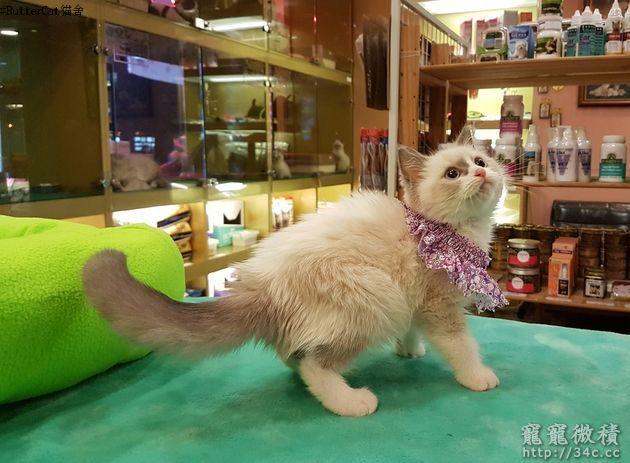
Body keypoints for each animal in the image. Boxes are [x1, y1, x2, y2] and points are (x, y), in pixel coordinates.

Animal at [84, 136, 506, 417]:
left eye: (480, 159)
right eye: (453, 173)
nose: (482, 172)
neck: (454, 229)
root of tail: (263, 285)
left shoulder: (416, 299)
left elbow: (413, 329)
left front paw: (409, 350)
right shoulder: (439, 305)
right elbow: (461, 346)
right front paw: (477, 376)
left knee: (296, 356)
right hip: (377, 298)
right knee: (314, 366)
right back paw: (352, 402)